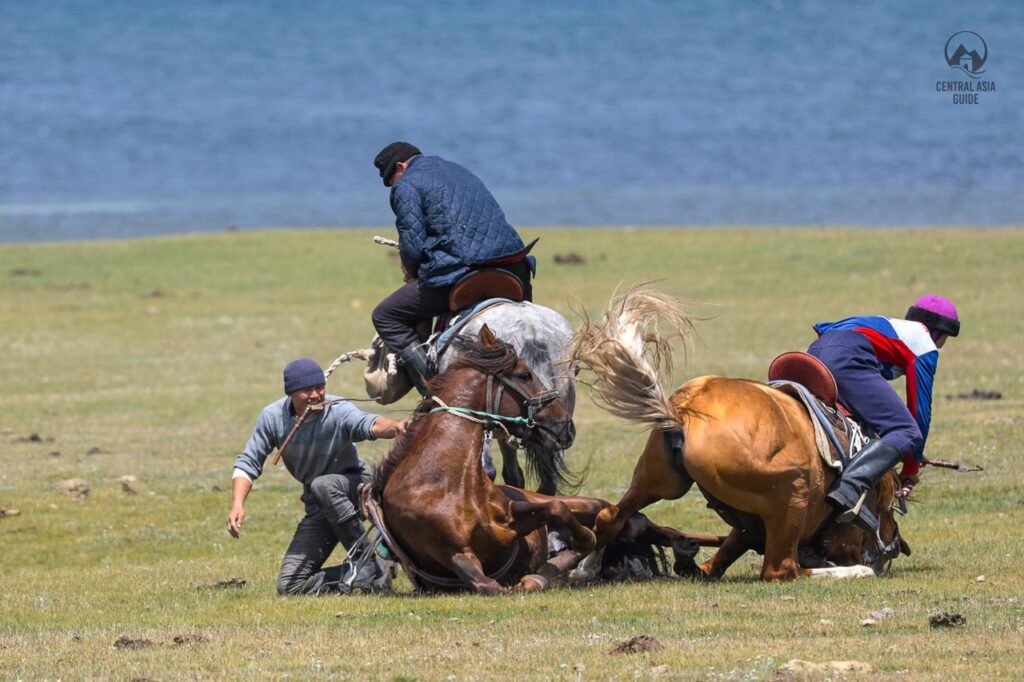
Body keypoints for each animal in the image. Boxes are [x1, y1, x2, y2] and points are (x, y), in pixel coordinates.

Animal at [573, 284, 909, 577]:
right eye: (890, 510)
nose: (896, 548)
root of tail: (681, 414)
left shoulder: (746, 529)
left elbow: (714, 563)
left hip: (658, 482)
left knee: (611, 517)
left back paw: (585, 568)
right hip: (792, 497)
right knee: (782, 570)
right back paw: (856, 570)